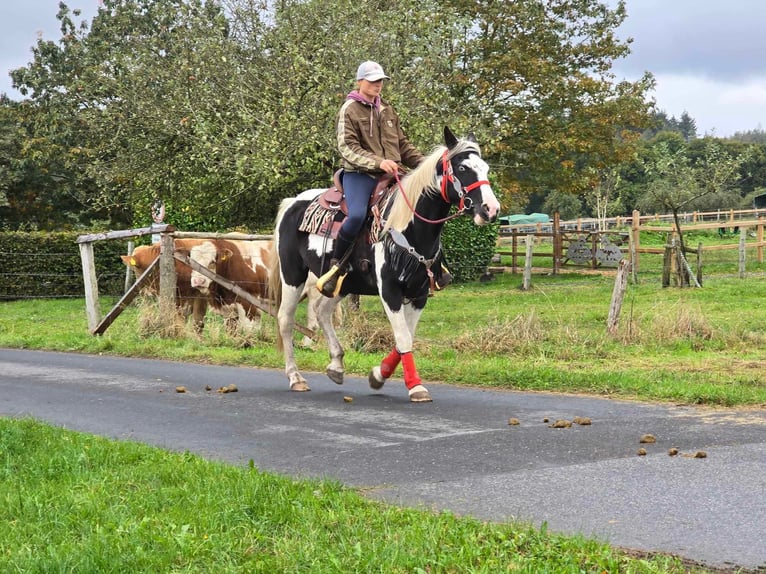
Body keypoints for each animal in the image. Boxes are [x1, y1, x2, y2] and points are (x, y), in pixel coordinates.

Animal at [270, 127, 504, 404]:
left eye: (485, 168)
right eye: (463, 168)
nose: (490, 210)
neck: (407, 227)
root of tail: (293, 202)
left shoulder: (419, 293)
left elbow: (406, 338)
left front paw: (378, 375)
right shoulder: (390, 290)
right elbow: (403, 338)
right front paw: (415, 386)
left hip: (344, 282)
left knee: (322, 310)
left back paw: (336, 365)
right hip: (292, 274)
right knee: (285, 319)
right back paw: (296, 377)